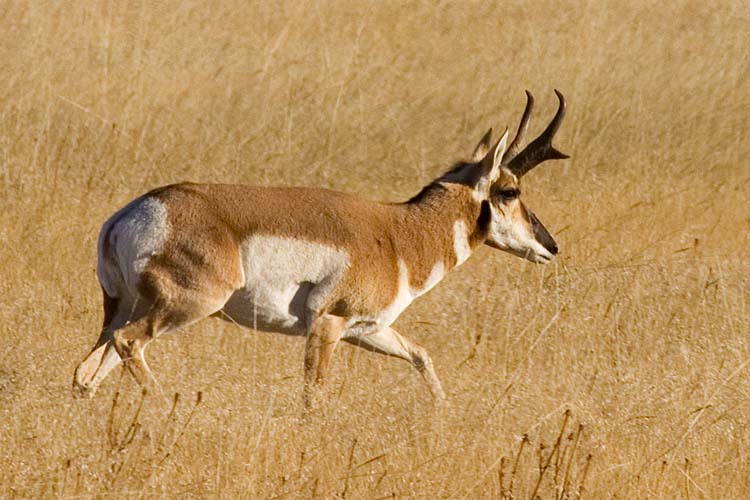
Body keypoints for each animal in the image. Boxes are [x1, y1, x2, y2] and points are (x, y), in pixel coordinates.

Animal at [75, 89, 568, 402]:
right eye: (510, 191)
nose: (551, 246)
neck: (399, 232)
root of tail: (131, 213)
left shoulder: (368, 330)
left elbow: (422, 357)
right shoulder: (328, 326)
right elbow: (315, 397)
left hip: (124, 308)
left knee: (87, 372)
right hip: (186, 306)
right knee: (127, 345)